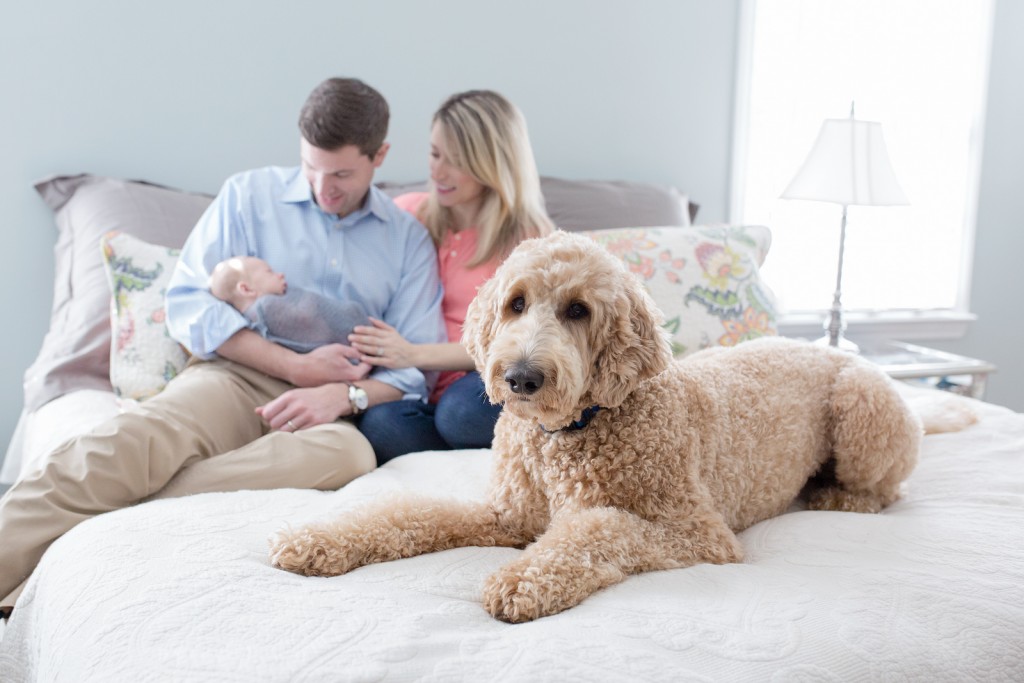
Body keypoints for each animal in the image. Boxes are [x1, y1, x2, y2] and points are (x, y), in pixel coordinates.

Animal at [274, 231, 929, 626]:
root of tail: (828, 348)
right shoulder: (507, 516)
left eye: (578, 311)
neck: (566, 433)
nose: (521, 376)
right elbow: (407, 512)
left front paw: (522, 579)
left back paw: (836, 495)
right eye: (515, 303)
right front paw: (319, 540)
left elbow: (598, 528)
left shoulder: (698, 534)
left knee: (886, 488)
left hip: (862, 405)